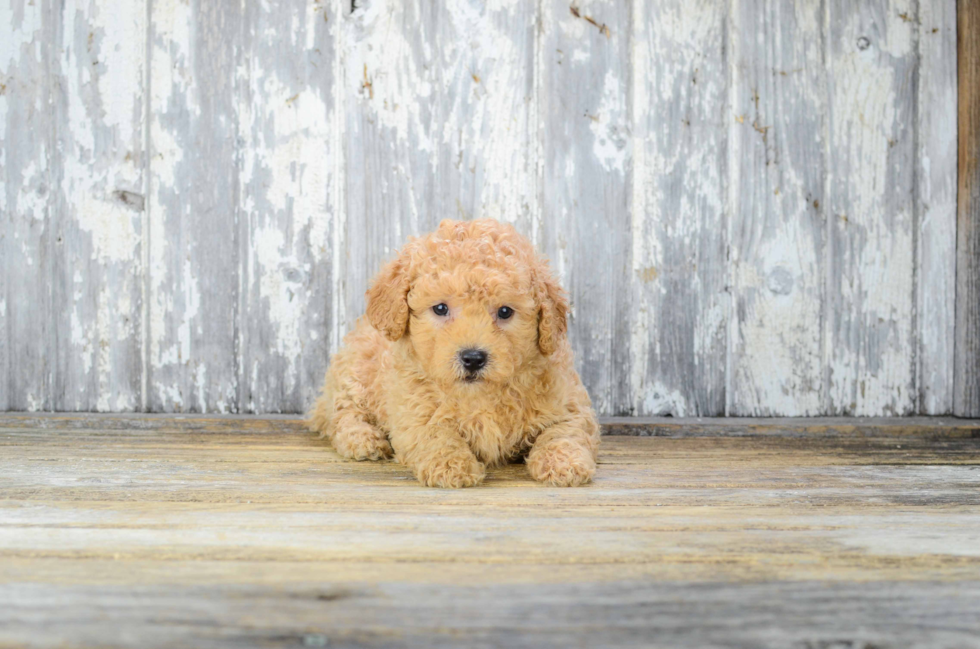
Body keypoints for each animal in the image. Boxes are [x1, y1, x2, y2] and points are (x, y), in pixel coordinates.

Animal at [308, 218, 596, 486]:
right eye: (440, 308)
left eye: (505, 311)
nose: (473, 358)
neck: (479, 395)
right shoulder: (411, 412)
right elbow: (435, 434)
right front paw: (451, 466)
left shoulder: (570, 403)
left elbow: (562, 432)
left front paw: (564, 463)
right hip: (354, 373)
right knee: (340, 412)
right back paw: (363, 439)